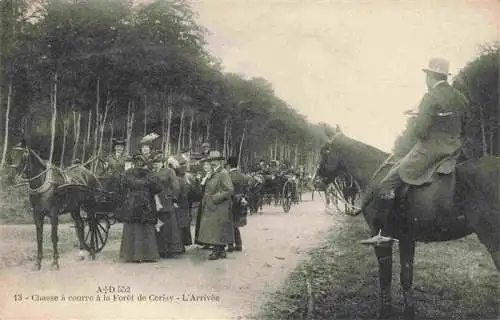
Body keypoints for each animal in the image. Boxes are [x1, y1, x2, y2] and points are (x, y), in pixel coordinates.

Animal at [10, 140, 99, 270]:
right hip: (74, 208)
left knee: (92, 225)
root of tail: (88, 173)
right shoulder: (37, 214)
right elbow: (39, 237)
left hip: (90, 205)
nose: (15, 178)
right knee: (80, 224)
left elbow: (53, 237)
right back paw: (82, 252)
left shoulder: (54, 214)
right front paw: (38, 263)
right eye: (12, 155)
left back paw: (92, 251)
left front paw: (55, 262)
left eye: (24, 157)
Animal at [318, 126, 498, 318]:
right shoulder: (406, 239)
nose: (316, 182)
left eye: (324, 150)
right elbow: (406, 276)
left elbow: (385, 276)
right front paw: (408, 311)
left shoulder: (382, 240)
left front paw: (385, 311)